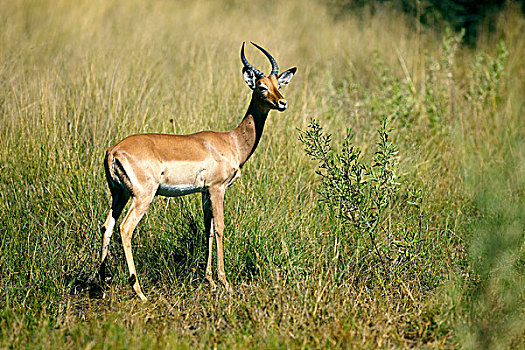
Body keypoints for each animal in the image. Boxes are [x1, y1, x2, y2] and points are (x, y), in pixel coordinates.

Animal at [98, 42, 294, 300]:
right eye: (261, 86)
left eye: (277, 85)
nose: (282, 103)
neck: (231, 142)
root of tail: (113, 150)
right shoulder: (218, 188)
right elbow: (220, 228)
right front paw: (225, 282)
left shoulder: (204, 192)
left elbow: (207, 229)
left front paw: (210, 281)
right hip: (142, 196)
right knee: (125, 228)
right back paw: (139, 291)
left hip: (118, 195)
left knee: (107, 226)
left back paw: (102, 284)